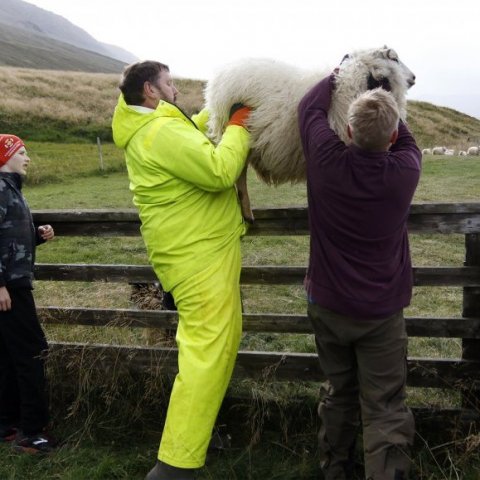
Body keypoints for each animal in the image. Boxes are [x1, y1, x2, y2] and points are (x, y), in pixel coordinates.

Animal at [204, 45, 414, 221]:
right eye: (394, 58)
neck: (349, 85)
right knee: (239, 173)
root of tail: (219, 81)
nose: (413, 78)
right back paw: (247, 211)